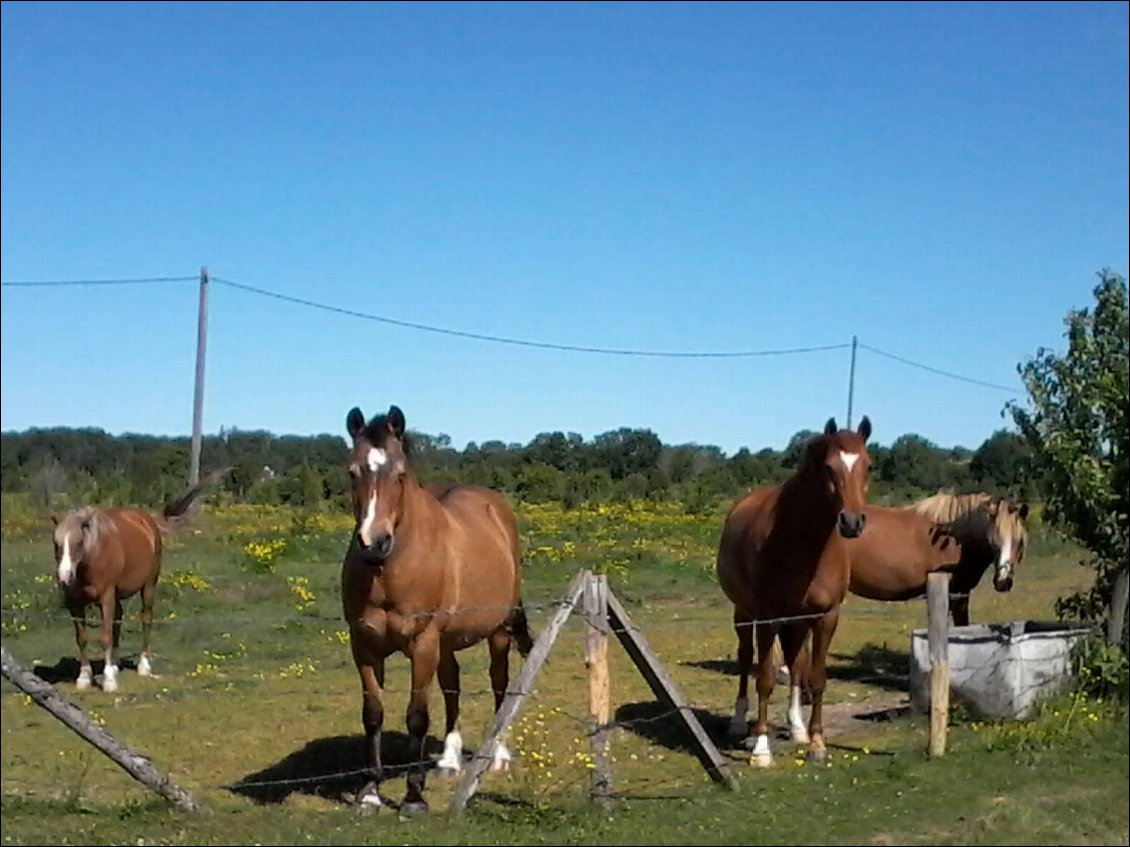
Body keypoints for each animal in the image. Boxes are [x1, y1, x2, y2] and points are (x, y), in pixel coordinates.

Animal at [49, 474, 215, 691]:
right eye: (57, 544)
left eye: (78, 543)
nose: (65, 576)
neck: (91, 560)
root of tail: (148, 520)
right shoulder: (74, 603)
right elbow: (82, 638)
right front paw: (84, 678)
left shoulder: (106, 597)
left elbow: (105, 637)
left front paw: (109, 682)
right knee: (118, 618)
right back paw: (114, 665)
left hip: (149, 586)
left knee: (146, 620)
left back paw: (143, 667)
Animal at [339, 404, 533, 817]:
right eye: (352, 472)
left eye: (399, 475)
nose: (373, 543)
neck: (388, 571)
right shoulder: (364, 645)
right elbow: (373, 714)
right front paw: (369, 792)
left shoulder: (423, 643)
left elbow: (417, 716)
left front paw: (413, 797)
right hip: (445, 642)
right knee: (452, 685)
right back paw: (449, 759)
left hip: (497, 632)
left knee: (500, 682)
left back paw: (498, 755)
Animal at [714, 415, 872, 767]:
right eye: (828, 467)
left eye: (868, 465)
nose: (852, 522)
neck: (800, 542)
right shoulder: (768, 618)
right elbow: (765, 680)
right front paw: (761, 749)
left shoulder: (825, 617)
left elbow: (816, 677)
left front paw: (816, 744)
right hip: (744, 614)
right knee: (746, 660)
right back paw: (737, 723)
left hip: (796, 622)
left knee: (795, 663)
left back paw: (797, 727)